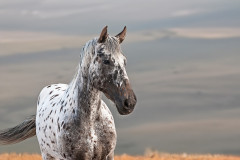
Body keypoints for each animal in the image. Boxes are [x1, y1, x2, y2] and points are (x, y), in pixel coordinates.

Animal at [0, 26, 136, 160]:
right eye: (106, 61)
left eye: (124, 61)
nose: (130, 102)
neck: (91, 123)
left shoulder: (108, 155)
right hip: (47, 155)